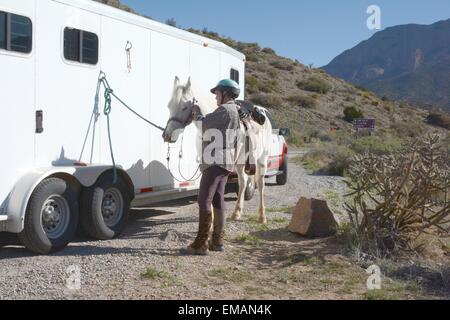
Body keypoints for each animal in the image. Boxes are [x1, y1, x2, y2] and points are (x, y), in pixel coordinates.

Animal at [163, 76, 272, 224]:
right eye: (169, 105)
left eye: (184, 107)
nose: (167, 135)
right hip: (240, 163)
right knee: (243, 182)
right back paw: (236, 213)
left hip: (262, 160)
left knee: (260, 185)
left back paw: (262, 216)